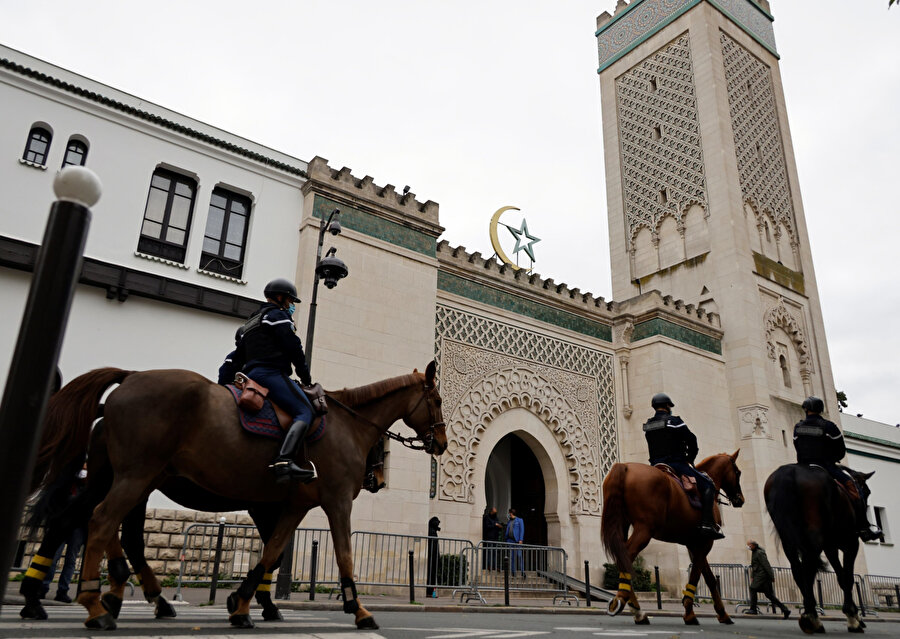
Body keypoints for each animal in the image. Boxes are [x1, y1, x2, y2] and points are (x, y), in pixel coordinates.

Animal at [37, 362, 446, 632]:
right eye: (438, 400)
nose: (441, 443)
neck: (347, 424)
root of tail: (131, 376)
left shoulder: (294, 506)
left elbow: (272, 552)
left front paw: (242, 604)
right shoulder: (335, 501)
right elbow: (341, 556)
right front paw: (357, 608)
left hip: (129, 480)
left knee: (98, 524)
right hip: (135, 477)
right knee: (102, 521)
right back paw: (94, 604)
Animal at [600, 452, 740, 628]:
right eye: (738, 473)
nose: (740, 499)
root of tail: (625, 466)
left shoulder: (694, 544)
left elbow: (709, 578)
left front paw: (722, 614)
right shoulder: (705, 543)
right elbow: (697, 575)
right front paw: (690, 613)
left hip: (623, 525)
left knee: (622, 557)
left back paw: (637, 611)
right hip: (644, 530)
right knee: (626, 555)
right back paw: (624, 602)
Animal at [768, 464, 872, 636]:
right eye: (867, 492)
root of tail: (789, 471)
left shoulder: (830, 547)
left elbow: (841, 577)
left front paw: (855, 617)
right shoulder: (850, 543)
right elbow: (848, 578)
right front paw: (853, 619)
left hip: (788, 538)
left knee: (798, 570)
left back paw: (810, 614)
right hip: (815, 537)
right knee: (808, 566)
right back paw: (812, 618)